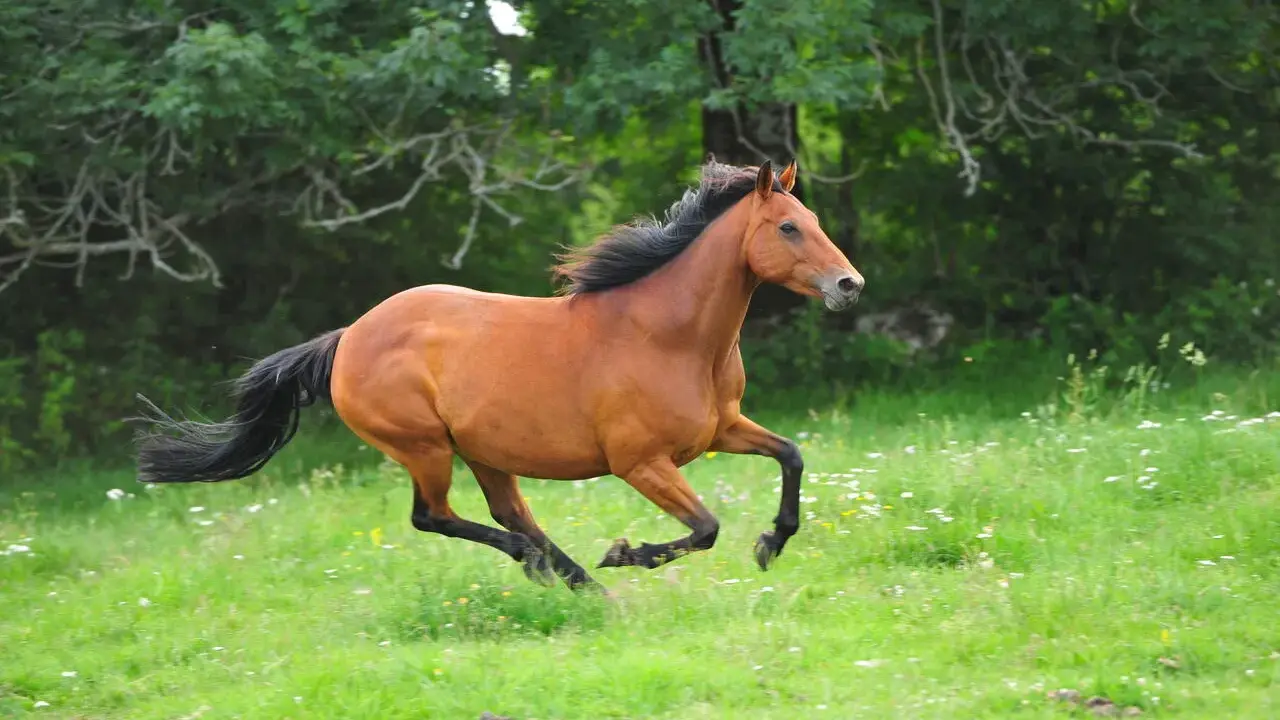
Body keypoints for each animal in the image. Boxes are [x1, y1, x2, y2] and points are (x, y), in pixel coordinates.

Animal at [133, 159, 864, 592]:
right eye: (789, 228)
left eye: (814, 220)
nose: (849, 285)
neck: (671, 337)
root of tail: (346, 339)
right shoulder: (640, 462)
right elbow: (706, 527)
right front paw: (627, 552)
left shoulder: (721, 430)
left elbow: (791, 455)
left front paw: (771, 543)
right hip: (424, 447)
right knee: (437, 517)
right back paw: (561, 570)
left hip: (482, 450)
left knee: (509, 512)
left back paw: (577, 582)